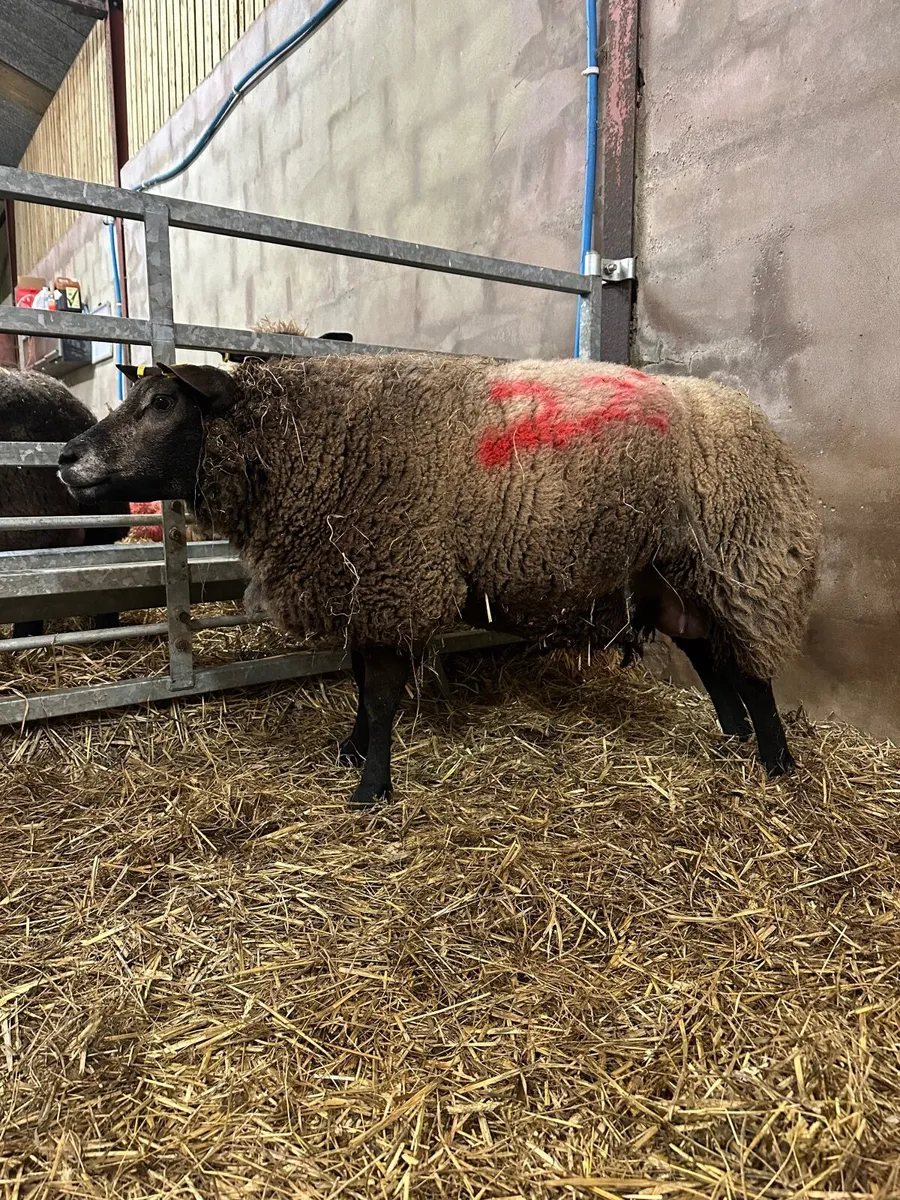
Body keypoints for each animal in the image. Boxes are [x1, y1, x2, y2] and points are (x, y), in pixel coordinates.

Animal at [58, 353, 821, 808]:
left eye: (162, 403)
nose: (66, 457)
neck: (312, 443)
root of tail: (760, 423)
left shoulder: (399, 577)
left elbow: (383, 692)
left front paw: (371, 787)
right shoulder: (367, 587)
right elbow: (362, 684)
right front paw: (352, 751)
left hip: (745, 564)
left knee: (751, 669)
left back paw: (776, 762)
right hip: (669, 578)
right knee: (709, 657)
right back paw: (732, 739)